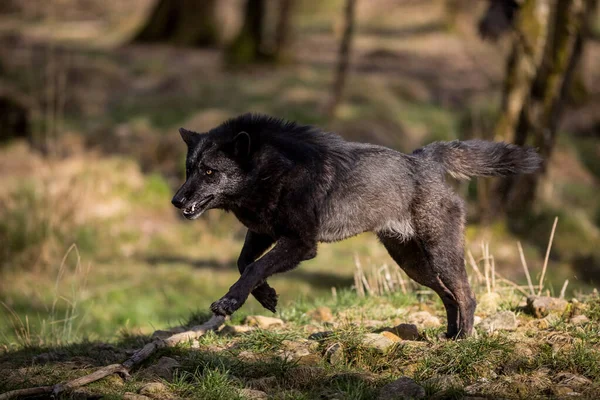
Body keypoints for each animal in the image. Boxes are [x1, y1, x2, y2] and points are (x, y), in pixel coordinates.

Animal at [171, 112, 540, 338]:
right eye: (189, 169)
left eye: (209, 172)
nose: (176, 200)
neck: (276, 171)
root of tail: (423, 159)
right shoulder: (263, 232)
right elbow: (244, 262)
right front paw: (266, 296)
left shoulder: (302, 243)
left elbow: (253, 266)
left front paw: (230, 302)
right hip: (412, 264)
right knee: (448, 295)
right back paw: (449, 337)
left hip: (440, 255)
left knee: (466, 295)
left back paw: (463, 339)